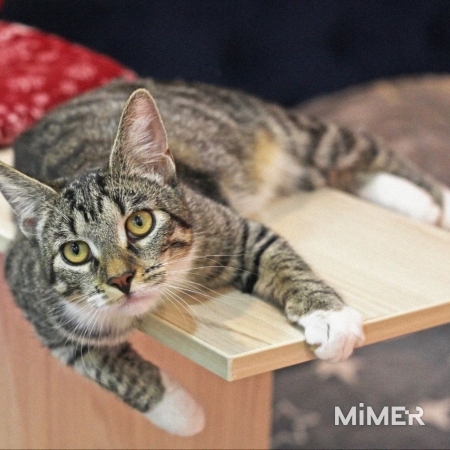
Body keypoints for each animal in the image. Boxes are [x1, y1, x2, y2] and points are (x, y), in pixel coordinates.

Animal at [0, 78, 448, 436]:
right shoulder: (35, 296)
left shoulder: (229, 227)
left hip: (289, 130)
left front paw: (329, 316)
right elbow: (97, 362)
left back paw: (433, 202)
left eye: (140, 222)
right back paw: (419, 205)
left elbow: (280, 257)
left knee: (367, 150)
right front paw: (182, 412)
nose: (121, 279)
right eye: (75, 251)